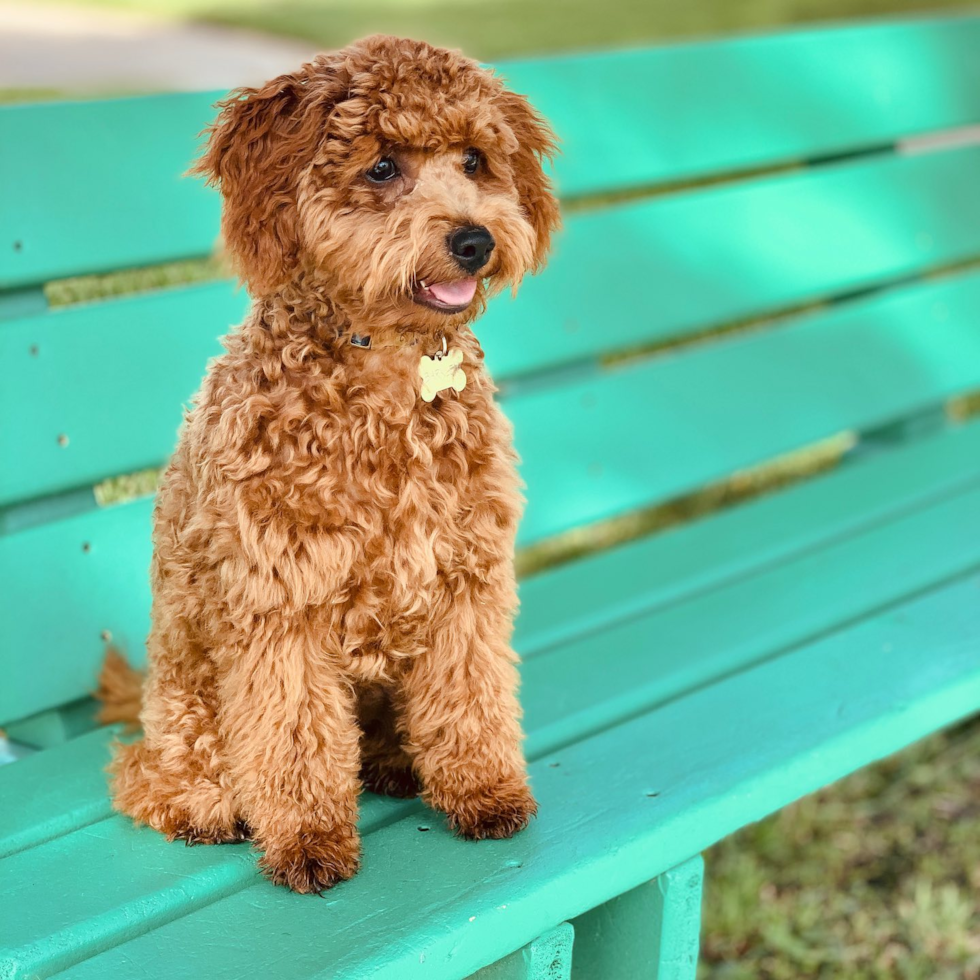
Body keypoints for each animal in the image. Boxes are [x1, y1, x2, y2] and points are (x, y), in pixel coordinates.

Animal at [107, 36, 560, 896]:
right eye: (381, 167)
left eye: (476, 160)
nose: (475, 241)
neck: (387, 371)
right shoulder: (279, 600)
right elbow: (293, 736)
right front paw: (308, 838)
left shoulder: (466, 580)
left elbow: (471, 696)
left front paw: (484, 790)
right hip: (185, 700)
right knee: (146, 774)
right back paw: (201, 804)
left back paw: (393, 762)